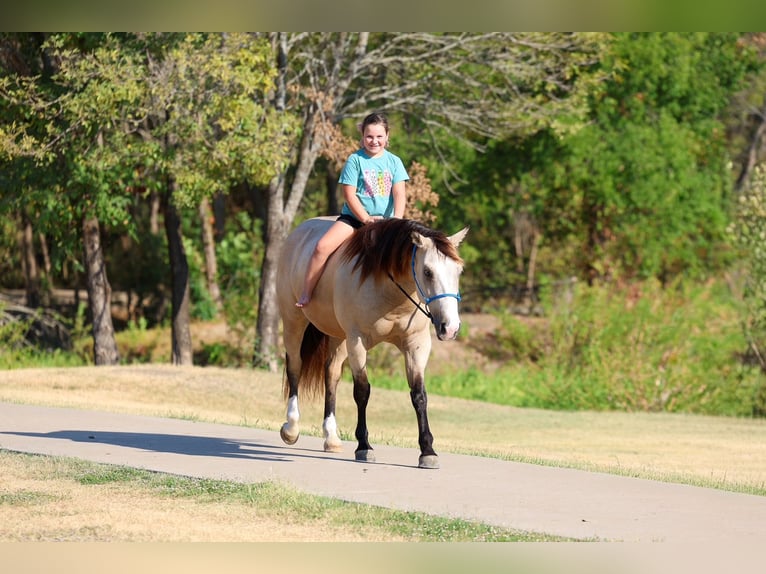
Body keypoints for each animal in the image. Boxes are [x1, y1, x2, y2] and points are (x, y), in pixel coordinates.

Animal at [276, 217, 468, 469]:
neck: (390, 292)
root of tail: (300, 230)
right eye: (427, 272)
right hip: (293, 322)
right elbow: (362, 391)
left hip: (339, 337)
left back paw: (331, 437)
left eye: (458, 270)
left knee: (331, 375)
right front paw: (364, 446)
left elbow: (419, 395)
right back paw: (291, 427)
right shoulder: (357, 342)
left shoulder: (416, 344)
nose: (450, 327)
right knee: (295, 368)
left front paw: (427, 451)